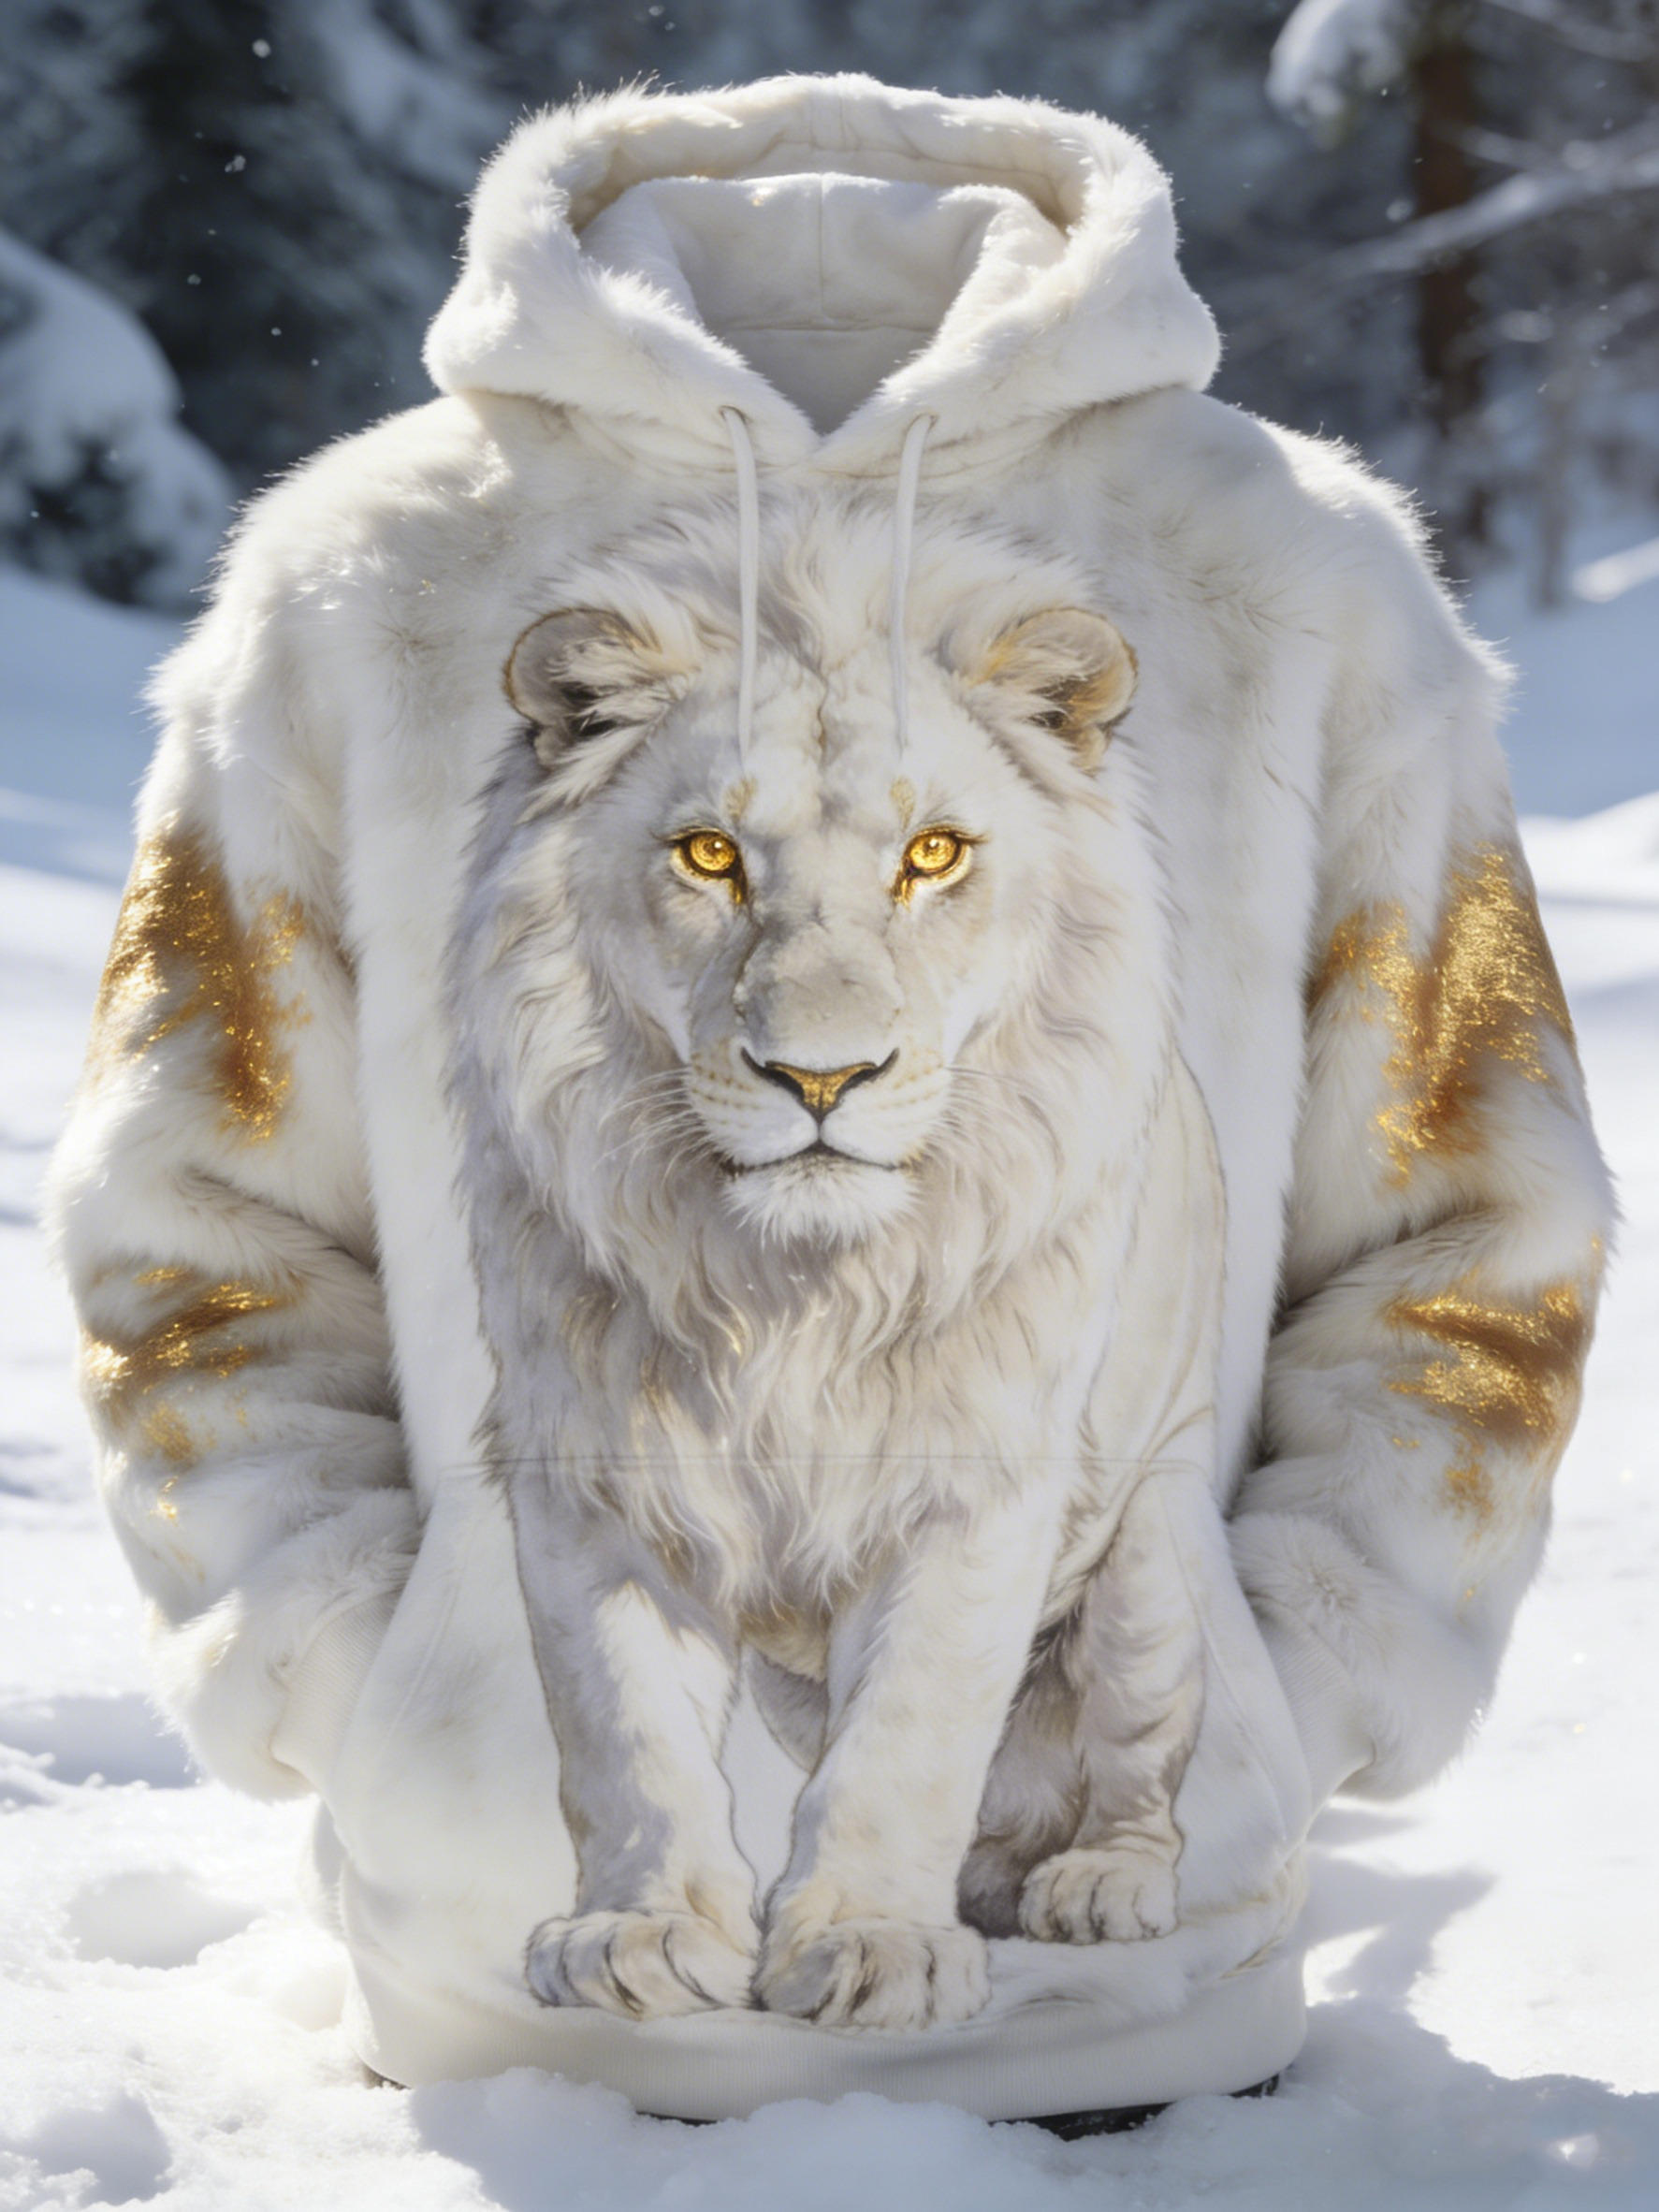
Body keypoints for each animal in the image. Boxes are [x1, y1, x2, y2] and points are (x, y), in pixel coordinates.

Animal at [447, 496, 1228, 2033]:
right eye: (708, 857)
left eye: (932, 856)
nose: (820, 1077)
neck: (791, 1294)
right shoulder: (590, 1478)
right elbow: (626, 1735)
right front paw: (642, 1937)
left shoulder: (977, 1484)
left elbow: (914, 1733)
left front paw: (871, 1945)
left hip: (1156, 1557)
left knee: (1135, 1765)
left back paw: (1096, 1885)